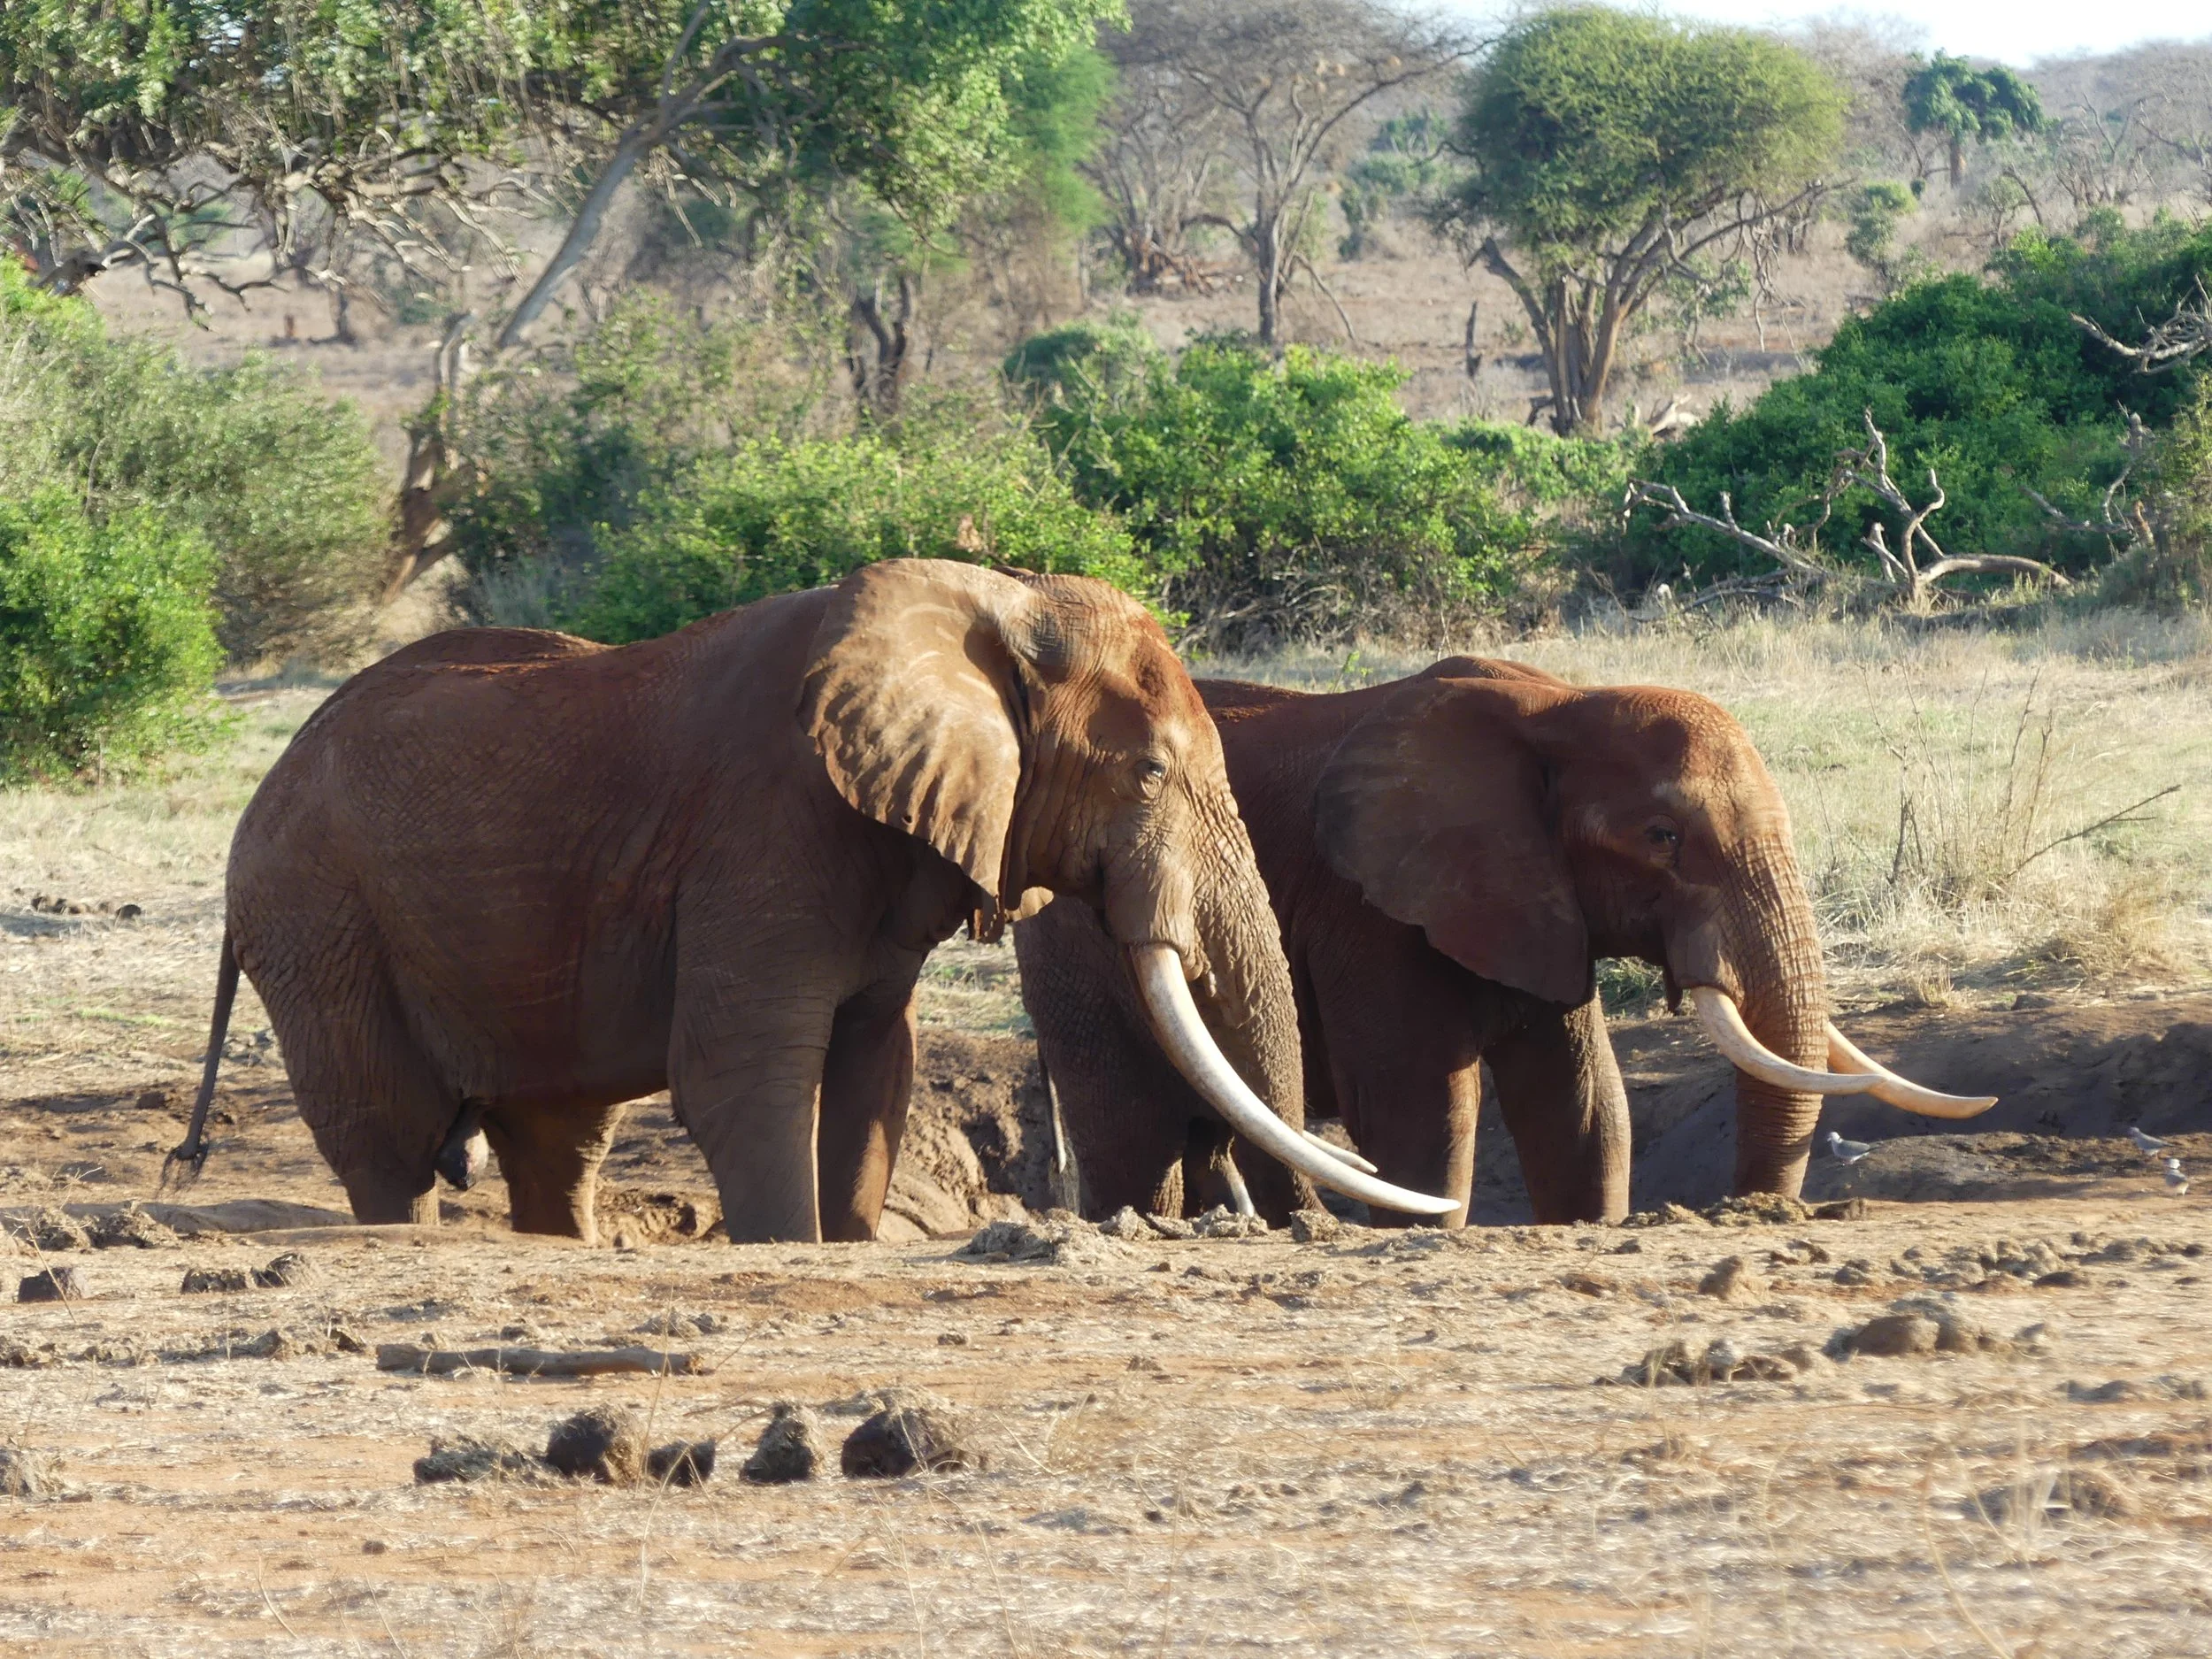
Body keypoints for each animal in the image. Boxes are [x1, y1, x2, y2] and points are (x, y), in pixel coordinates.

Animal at [176, 559, 1453, 1244]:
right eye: (1144, 774)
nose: (1281, 1221)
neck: (991, 605)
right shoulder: (765, 829)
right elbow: (743, 1073)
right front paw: (790, 1241)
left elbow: (875, 1068)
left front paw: (846, 1238)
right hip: (318, 920)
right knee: (389, 1133)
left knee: (556, 1132)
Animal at [1017, 655, 1993, 1225]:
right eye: (1662, 838)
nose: (1748, 1215)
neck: (1556, 706)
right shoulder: (1368, 907)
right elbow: (1420, 1112)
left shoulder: (1537, 902)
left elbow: (1586, 1107)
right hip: (1075, 938)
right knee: (1133, 1134)